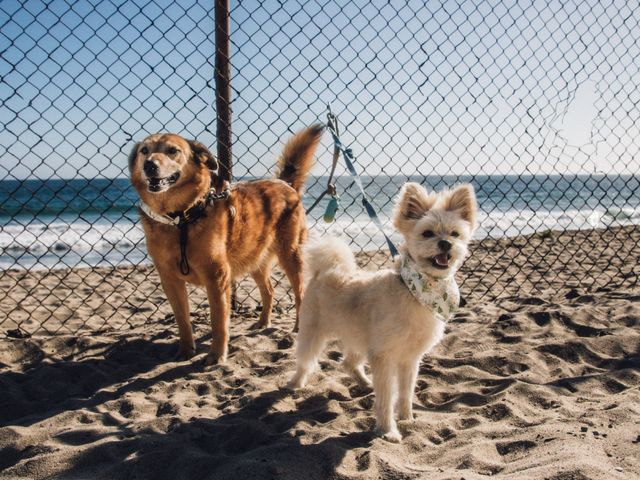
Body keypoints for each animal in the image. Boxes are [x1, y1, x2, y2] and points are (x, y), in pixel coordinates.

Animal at [127, 124, 322, 364]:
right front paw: (185, 350)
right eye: (144, 150)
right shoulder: (170, 280)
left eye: (172, 150)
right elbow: (182, 319)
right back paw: (263, 322)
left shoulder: (217, 277)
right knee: (269, 290)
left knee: (300, 293)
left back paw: (298, 326)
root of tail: (284, 183)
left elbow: (218, 321)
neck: (180, 217)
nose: (149, 165)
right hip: (254, 258)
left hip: (291, 255)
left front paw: (217, 355)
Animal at [288, 183, 478, 442]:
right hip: (313, 334)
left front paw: (407, 419)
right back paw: (295, 383)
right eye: (428, 233)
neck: (416, 292)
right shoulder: (384, 356)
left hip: (359, 339)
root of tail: (328, 270)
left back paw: (366, 383)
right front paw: (388, 430)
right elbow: (387, 397)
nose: (445, 244)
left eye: (455, 234)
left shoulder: (409, 359)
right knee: (305, 362)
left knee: (348, 363)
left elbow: (406, 392)